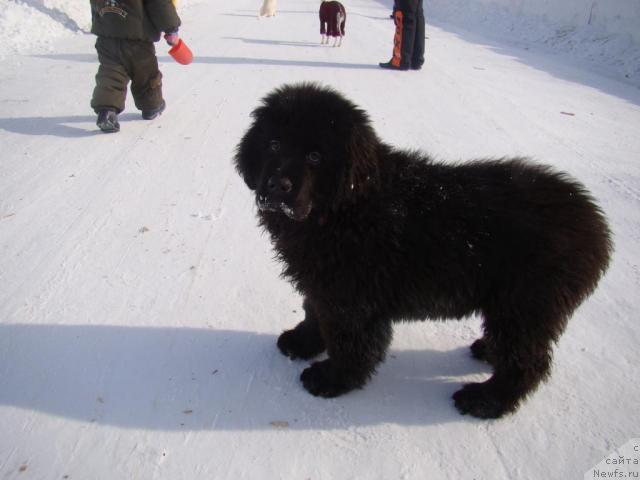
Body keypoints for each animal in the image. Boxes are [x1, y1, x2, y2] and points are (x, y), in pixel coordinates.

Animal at [234, 83, 608, 420]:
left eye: (315, 156)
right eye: (274, 144)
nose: (276, 187)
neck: (345, 208)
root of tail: (596, 223)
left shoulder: (350, 298)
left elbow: (348, 341)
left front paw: (332, 379)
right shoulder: (322, 282)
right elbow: (313, 312)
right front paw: (303, 342)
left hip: (526, 303)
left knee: (527, 361)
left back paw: (484, 401)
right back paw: (487, 352)